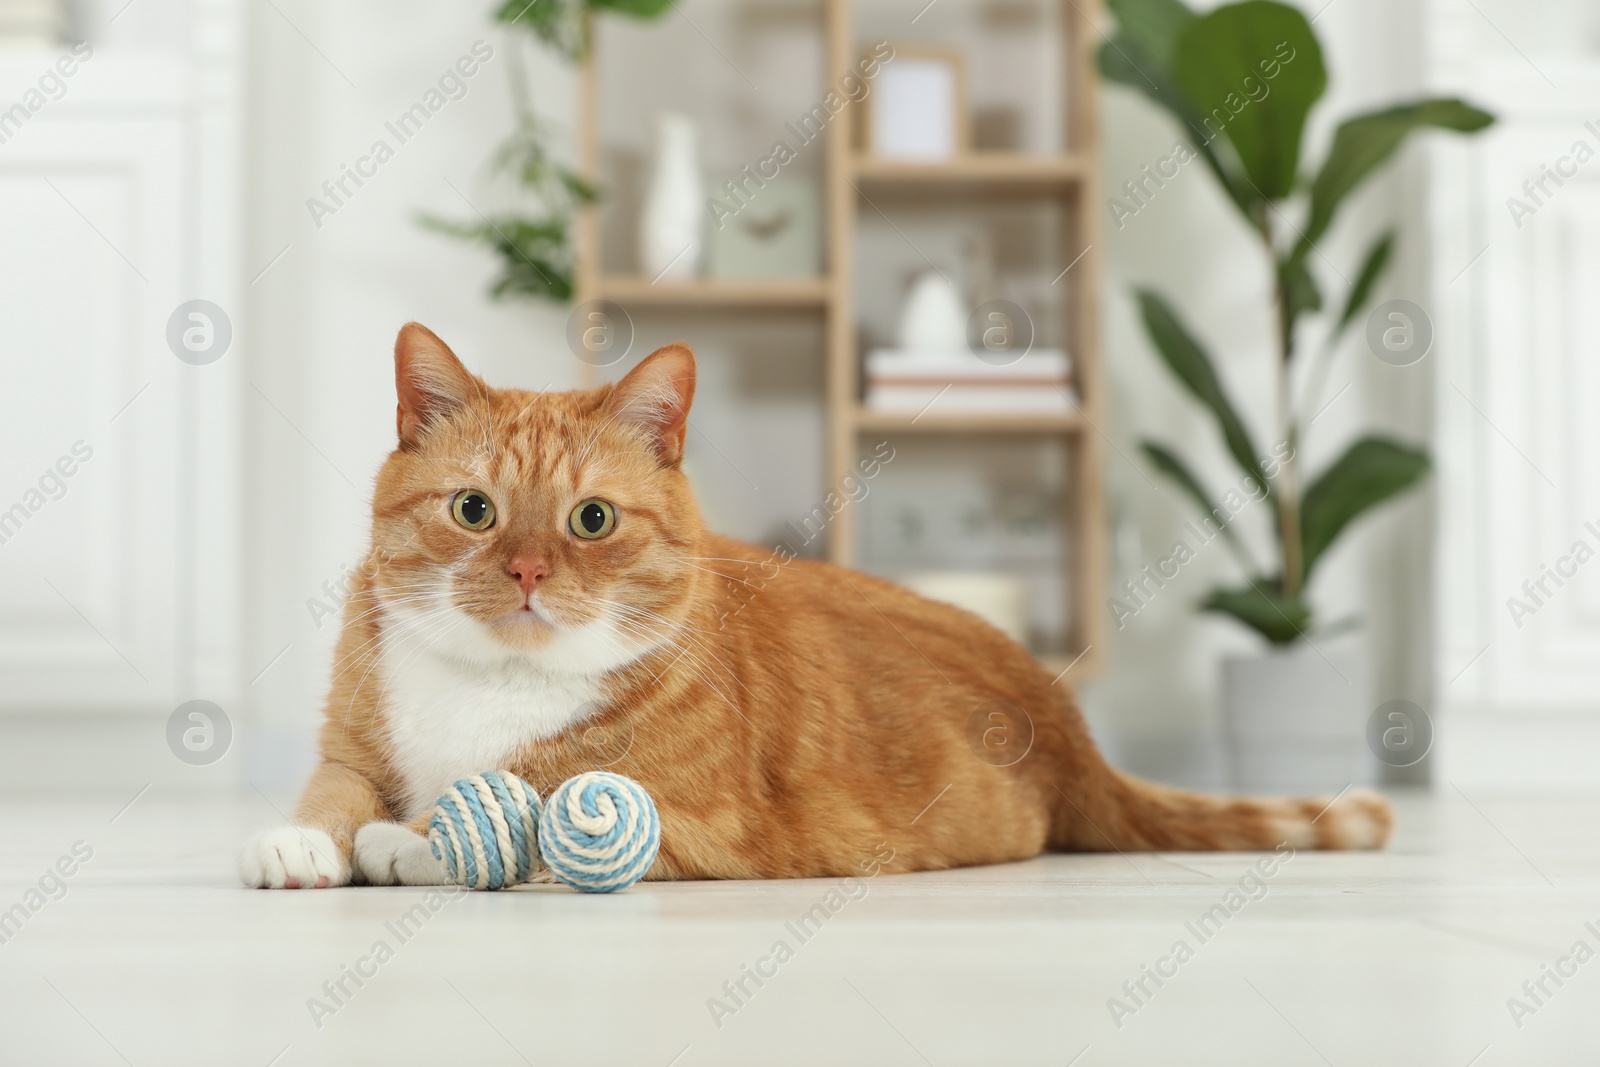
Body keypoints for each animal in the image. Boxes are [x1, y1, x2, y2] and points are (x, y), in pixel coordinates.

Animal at [236, 326, 1388, 895]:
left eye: (591, 518)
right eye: (473, 509)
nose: (523, 571)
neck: (496, 681)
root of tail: (1064, 717)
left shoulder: (707, 822)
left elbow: (532, 797)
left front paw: (413, 839)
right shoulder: (352, 740)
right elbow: (336, 788)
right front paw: (304, 841)